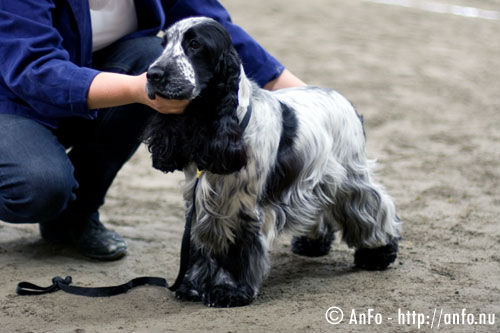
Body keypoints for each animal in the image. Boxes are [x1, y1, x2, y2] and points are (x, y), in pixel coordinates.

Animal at [143, 16, 400, 304]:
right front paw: (193, 286)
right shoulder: (199, 200)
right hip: (314, 181)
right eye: (164, 43)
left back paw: (379, 253)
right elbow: (201, 246)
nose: (152, 75)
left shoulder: (240, 205)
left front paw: (229, 290)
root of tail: (344, 100)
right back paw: (312, 245)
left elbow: (235, 250)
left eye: (195, 44)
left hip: (349, 176)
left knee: (371, 206)